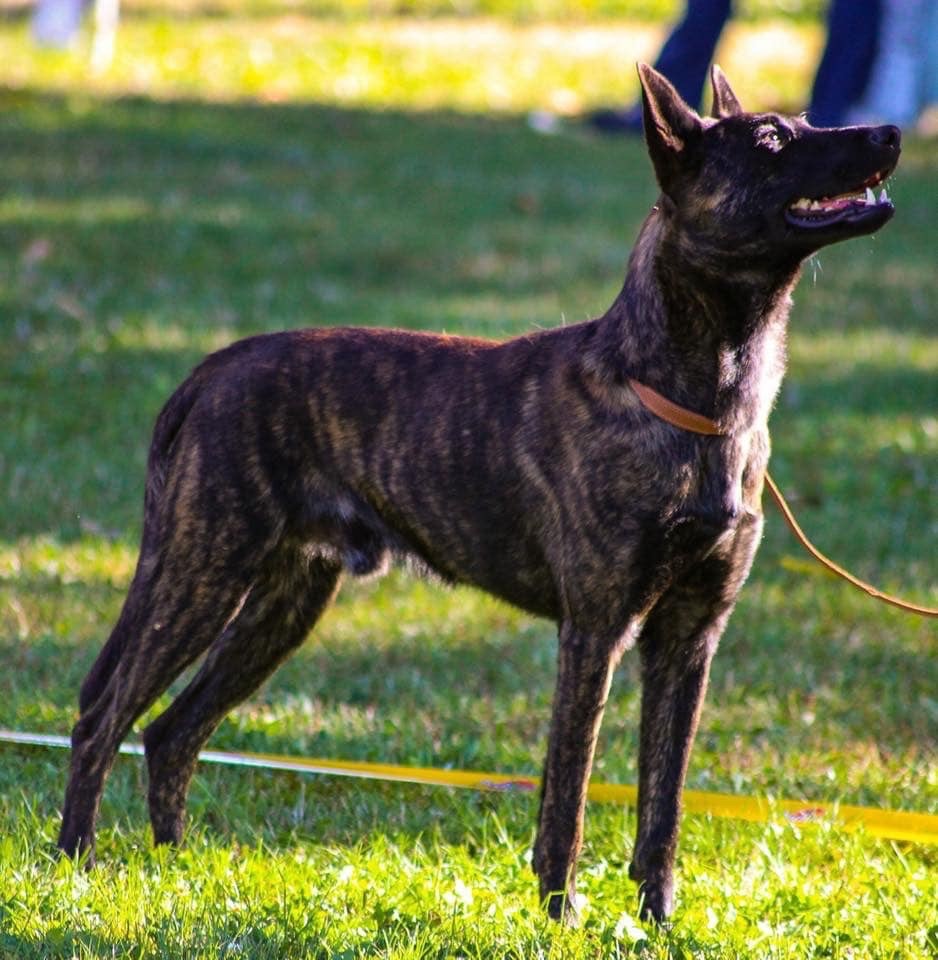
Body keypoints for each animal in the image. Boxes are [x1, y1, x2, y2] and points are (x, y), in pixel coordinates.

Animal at [58, 65, 900, 924]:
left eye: (803, 122)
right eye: (770, 141)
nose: (890, 134)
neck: (684, 394)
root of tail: (209, 373)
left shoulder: (688, 640)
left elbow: (661, 804)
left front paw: (657, 921)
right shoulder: (595, 633)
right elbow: (567, 798)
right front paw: (562, 915)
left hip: (281, 605)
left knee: (171, 733)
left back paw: (172, 869)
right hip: (201, 577)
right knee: (102, 719)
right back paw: (76, 867)